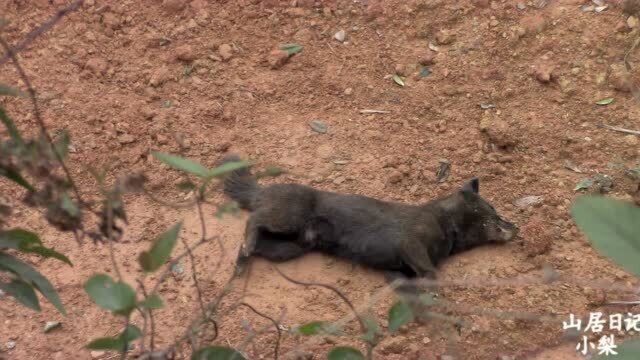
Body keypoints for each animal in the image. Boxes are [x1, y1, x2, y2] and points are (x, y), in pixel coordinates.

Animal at [222, 155, 516, 284]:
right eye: (493, 208)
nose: (515, 226)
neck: (446, 222)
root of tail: (262, 189)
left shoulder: (404, 267)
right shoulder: (411, 243)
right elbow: (430, 272)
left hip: (290, 247)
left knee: (256, 243)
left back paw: (242, 262)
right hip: (287, 219)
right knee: (254, 220)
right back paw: (245, 250)